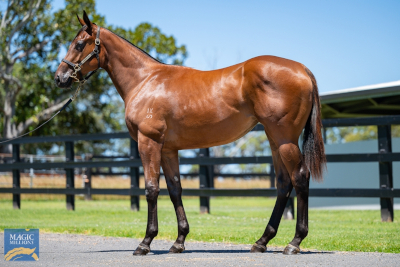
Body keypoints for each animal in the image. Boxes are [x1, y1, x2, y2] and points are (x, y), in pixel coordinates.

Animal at [55, 11, 324, 256]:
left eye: (79, 44)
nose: (59, 78)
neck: (145, 81)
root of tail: (302, 69)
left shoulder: (149, 142)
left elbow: (151, 189)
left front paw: (145, 242)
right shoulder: (168, 150)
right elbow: (175, 189)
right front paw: (179, 241)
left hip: (284, 139)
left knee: (300, 177)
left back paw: (294, 243)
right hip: (275, 139)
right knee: (283, 183)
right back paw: (262, 241)